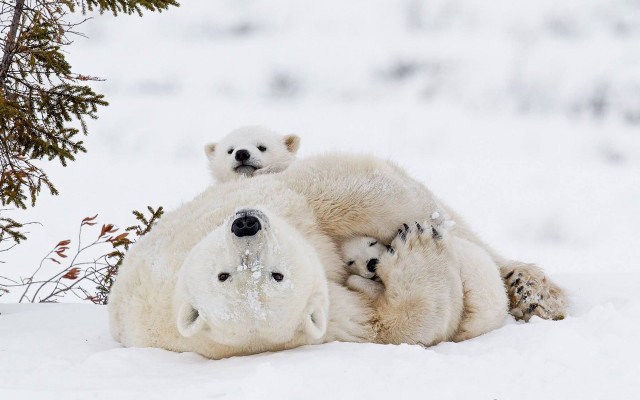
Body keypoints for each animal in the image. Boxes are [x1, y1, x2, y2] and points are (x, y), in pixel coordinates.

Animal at [108, 153, 567, 359]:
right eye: (227, 276)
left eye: (273, 273)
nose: (246, 224)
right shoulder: (330, 321)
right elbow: (397, 324)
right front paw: (414, 248)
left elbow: (345, 192)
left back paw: (532, 290)